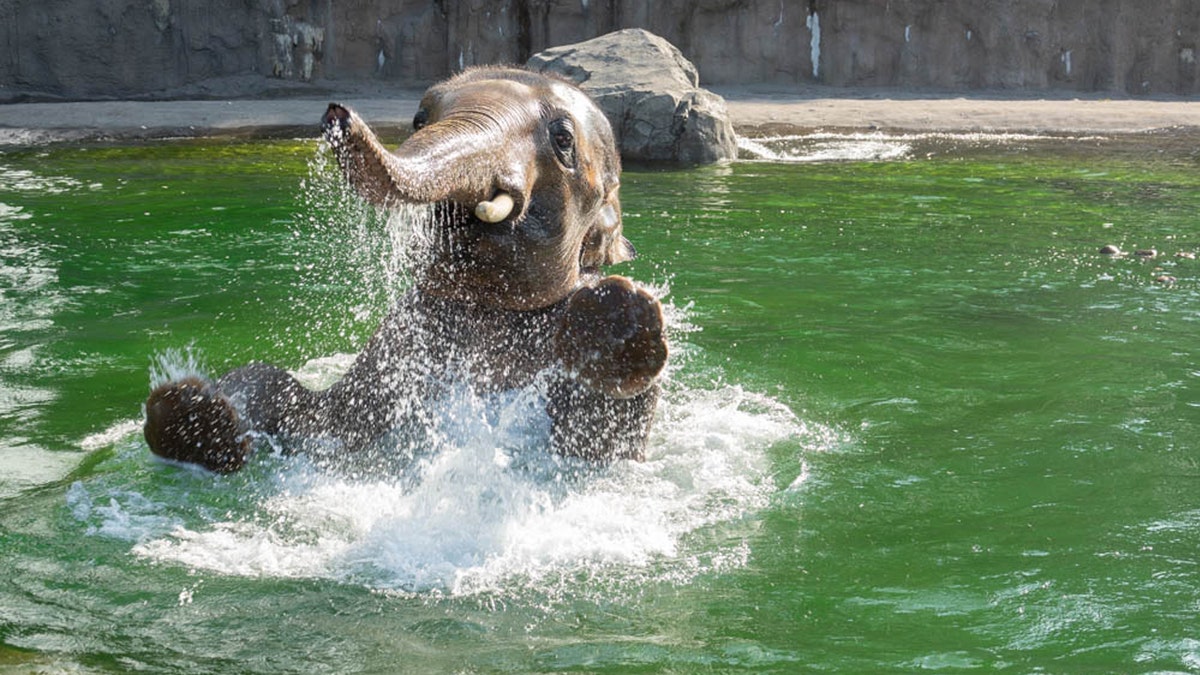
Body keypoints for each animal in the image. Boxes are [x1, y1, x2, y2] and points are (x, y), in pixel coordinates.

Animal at [141, 65, 672, 470]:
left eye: (562, 139)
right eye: (419, 118)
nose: (337, 113)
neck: (487, 307)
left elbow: (594, 445)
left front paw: (620, 313)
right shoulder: (392, 346)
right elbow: (301, 407)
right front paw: (194, 416)